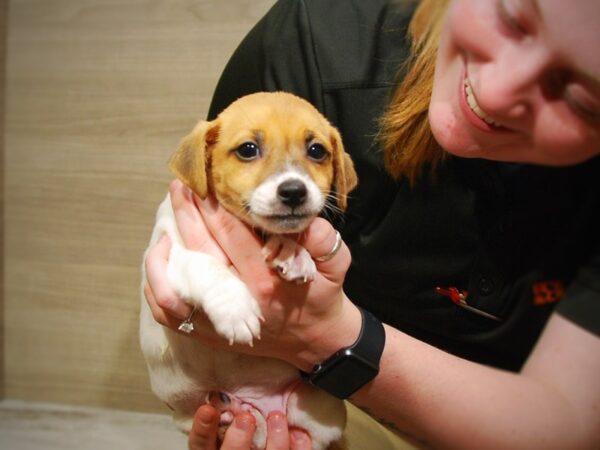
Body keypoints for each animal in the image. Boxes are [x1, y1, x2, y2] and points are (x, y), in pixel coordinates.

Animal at [141, 92, 356, 450]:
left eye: (317, 151)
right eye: (248, 149)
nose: (294, 191)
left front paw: (292, 251)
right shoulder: (169, 254)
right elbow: (210, 267)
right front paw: (236, 311)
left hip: (319, 406)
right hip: (190, 414)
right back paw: (231, 413)